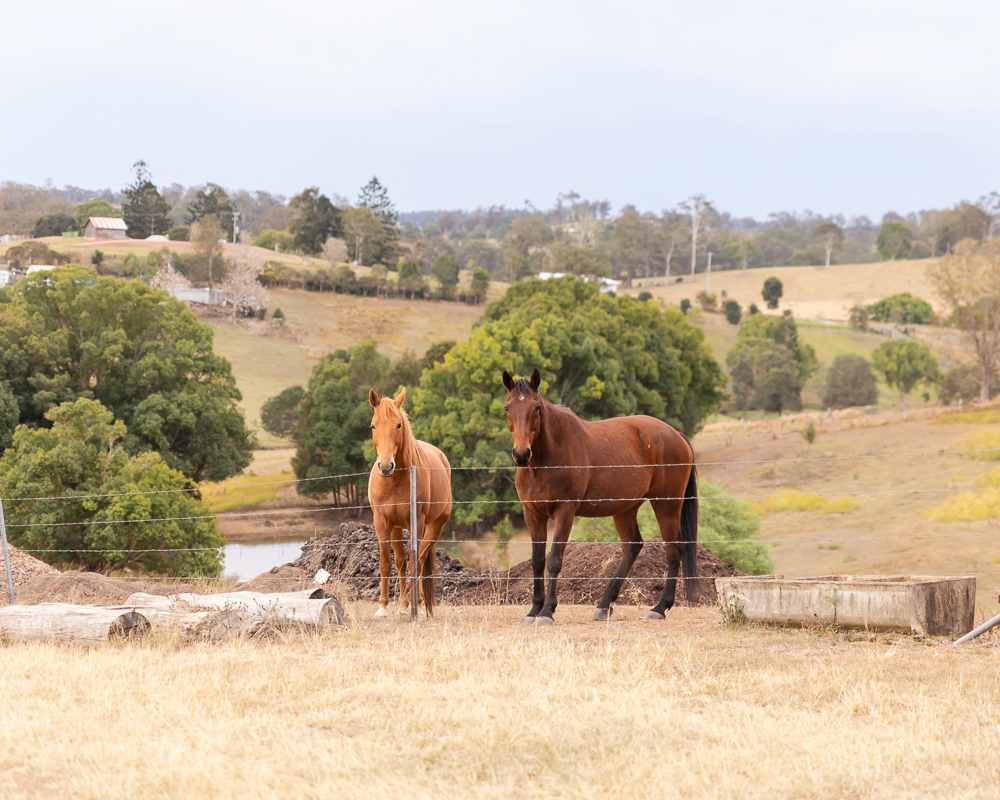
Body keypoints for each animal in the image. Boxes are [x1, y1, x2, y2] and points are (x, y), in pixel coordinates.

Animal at [368, 388, 454, 620]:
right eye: (373, 426)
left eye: (398, 425)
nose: (386, 466)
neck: (395, 481)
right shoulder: (381, 522)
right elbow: (386, 562)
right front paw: (383, 606)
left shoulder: (417, 521)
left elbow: (415, 561)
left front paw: (415, 604)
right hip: (397, 527)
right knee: (401, 560)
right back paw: (405, 603)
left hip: (434, 525)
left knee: (422, 559)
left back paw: (422, 603)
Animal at [500, 368, 696, 624]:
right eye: (507, 408)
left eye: (536, 408)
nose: (521, 454)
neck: (546, 460)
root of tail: (676, 435)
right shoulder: (532, 513)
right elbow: (538, 560)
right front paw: (533, 610)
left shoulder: (565, 511)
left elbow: (554, 560)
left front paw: (547, 612)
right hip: (625, 509)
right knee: (633, 546)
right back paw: (604, 605)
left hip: (667, 505)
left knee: (674, 551)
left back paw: (659, 608)